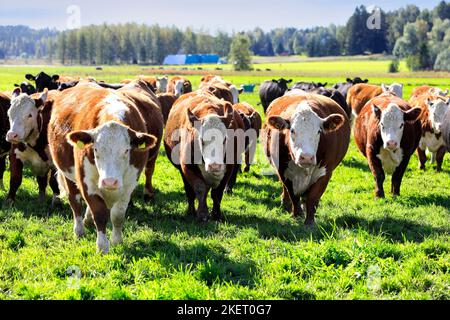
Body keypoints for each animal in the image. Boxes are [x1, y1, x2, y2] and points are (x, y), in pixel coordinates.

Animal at [48, 80, 163, 255]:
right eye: (95, 149)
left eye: (126, 150)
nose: (110, 182)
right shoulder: (86, 182)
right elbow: (100, 213)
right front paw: (102, 246)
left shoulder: (129, 184)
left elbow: (118, 214)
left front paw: (117, 241)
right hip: (67, 173)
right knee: (74, 200)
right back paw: (79, 229)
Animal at [163, 92, 244, 222]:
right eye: (201, 140)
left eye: (225, 139)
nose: (214, 165)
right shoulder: (187, 167)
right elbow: (200, 189)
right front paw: (202, 214)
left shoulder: (228, 168)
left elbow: (217, 193)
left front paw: (216, 214)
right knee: (190, 192)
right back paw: (191, 211)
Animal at [262, 93, 350, 225]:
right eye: (292, 130)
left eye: (319, 131)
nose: (307, 157)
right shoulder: (283, 170)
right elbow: (293, 195)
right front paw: (296, 215)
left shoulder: (325, 173)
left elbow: (312, 198)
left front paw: (309, 222)